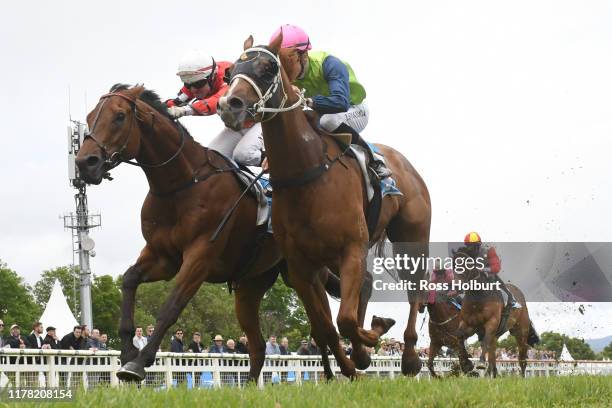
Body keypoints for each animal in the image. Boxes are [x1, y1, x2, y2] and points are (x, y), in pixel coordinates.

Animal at [76, 83, 338, 382]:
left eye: (119, 116)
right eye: (89, 117)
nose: (85, 162)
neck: (181, 185)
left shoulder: (201, 255)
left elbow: (171, 306)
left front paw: (139, 362)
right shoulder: (162, 256)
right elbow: (130, 280)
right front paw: (127, 350)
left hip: (305, 274)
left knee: (323, 327)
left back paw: (335, 376)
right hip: (252, 283)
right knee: (259, 344)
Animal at [218, 35, 432, 380]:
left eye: (268, 68)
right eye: (229, 73)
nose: (229, 105)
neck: (306, 174)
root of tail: (405, 164)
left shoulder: (352, 249)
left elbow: (345, 320)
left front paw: (371, 339)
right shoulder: (301, 268)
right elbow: (327, 326)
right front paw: (356, 359)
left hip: (411, 236)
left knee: (415, 289)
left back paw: (411, 357)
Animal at [452, 250, 536, 378]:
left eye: (466, 267)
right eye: (452, 267)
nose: (455, 287)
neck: (478, 298)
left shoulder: (491, 324)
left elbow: (485, 342)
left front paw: (480, 363)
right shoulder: (468, 325)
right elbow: (459, 338)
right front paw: (465, 363)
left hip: (521, 332)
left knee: (521, 356)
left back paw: (521, 377)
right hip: (497, 335)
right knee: (492, 357)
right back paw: (491, 374)